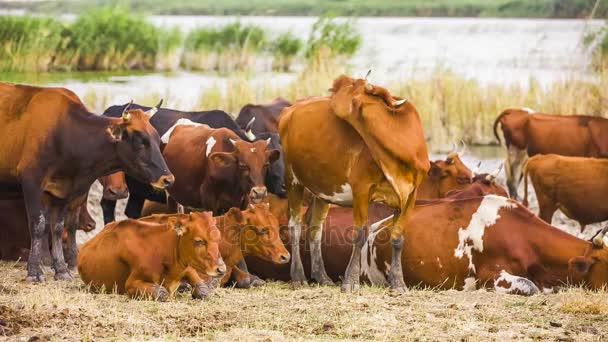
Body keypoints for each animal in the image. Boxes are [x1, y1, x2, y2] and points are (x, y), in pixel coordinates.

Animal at [0, 84, 173, 282]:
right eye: (140, 141)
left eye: (157, 140)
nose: (168, 179)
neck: (65, 132)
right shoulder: (32, 182)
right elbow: (38, 224)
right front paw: (34, 272)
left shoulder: (61, 192)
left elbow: (57, 227)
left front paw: (61, 270)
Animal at [77, 210, 224, 300]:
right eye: (198, 241)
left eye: (219, 238)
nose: (222, 269)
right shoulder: (130, 284)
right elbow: (162, 293)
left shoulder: (188, 267)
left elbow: (203, 290)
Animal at [278, 75, 430, 292]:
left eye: (349, 86)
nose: (332, 89)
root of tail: (289, 110)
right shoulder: (361, 190)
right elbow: (359, 234)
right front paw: (351, 281)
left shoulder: (410, 195)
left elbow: (398, 238)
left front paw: (398, 283)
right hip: (292, 179)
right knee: (295, 225)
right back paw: (298, 277)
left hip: (323, 189)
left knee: (315, 227)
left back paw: (322, 276)